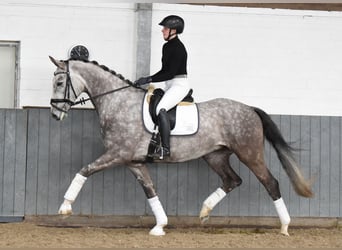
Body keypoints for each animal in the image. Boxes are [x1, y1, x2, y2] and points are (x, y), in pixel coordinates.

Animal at [48, 56, 312, 236]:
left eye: (60, 82)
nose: (54, 114)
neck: (118, 102)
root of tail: (250, 109)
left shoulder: (117, 154)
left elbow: (84, 170)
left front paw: (64, 208)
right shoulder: (133, 162)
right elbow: (150, 190)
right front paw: (160, 225)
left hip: (249, 153)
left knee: (270, 183)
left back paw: (284, 227)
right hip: (215, 156)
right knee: (232, 180)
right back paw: (204, 212)